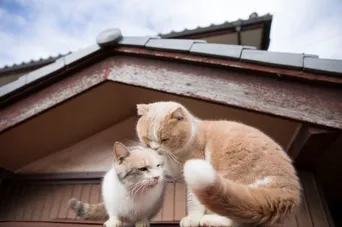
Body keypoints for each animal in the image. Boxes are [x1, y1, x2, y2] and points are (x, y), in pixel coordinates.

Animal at [136, 101, 302, 227]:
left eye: (164, 139)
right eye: (147, 138)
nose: (154, 148)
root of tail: (289, 192)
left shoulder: (195, 165)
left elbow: (193, 200)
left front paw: (193, 219)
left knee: (234, 217)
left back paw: (208, 220)